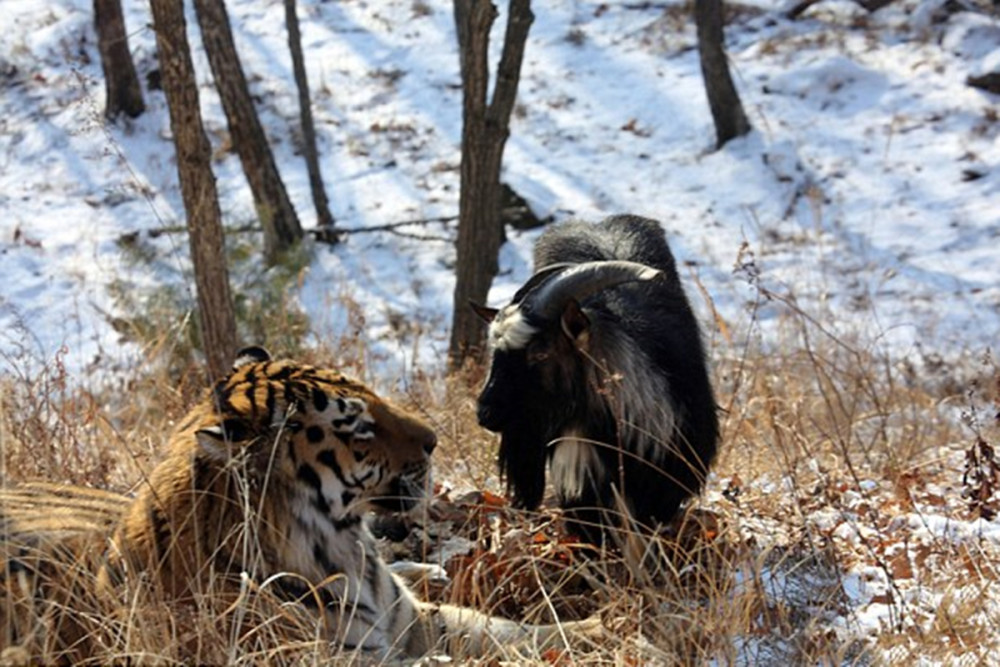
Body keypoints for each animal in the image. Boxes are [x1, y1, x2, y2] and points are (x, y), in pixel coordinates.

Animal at [1, 348, 600, 660]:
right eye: (359, 426)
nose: (434, 440)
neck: (345, 547)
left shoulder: (414, 621)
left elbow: (504, 630)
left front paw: (595, 627)